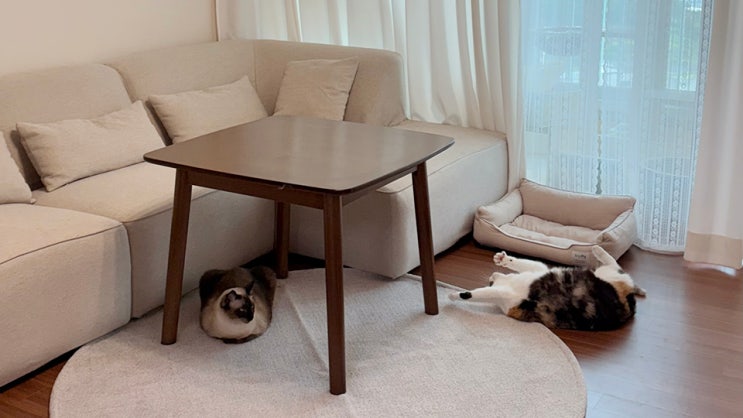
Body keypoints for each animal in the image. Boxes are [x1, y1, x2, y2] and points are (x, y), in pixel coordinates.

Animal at [449, 246, 646, 330]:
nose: (491, 277)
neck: (509, 285)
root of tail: (632, 303)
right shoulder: (536, 271)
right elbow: (523, 264)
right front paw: (502, 259)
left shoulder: (518, 287)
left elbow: (479, 294)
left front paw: (454, 295)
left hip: (610, 276)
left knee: (615, 264)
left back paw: (597, 249)